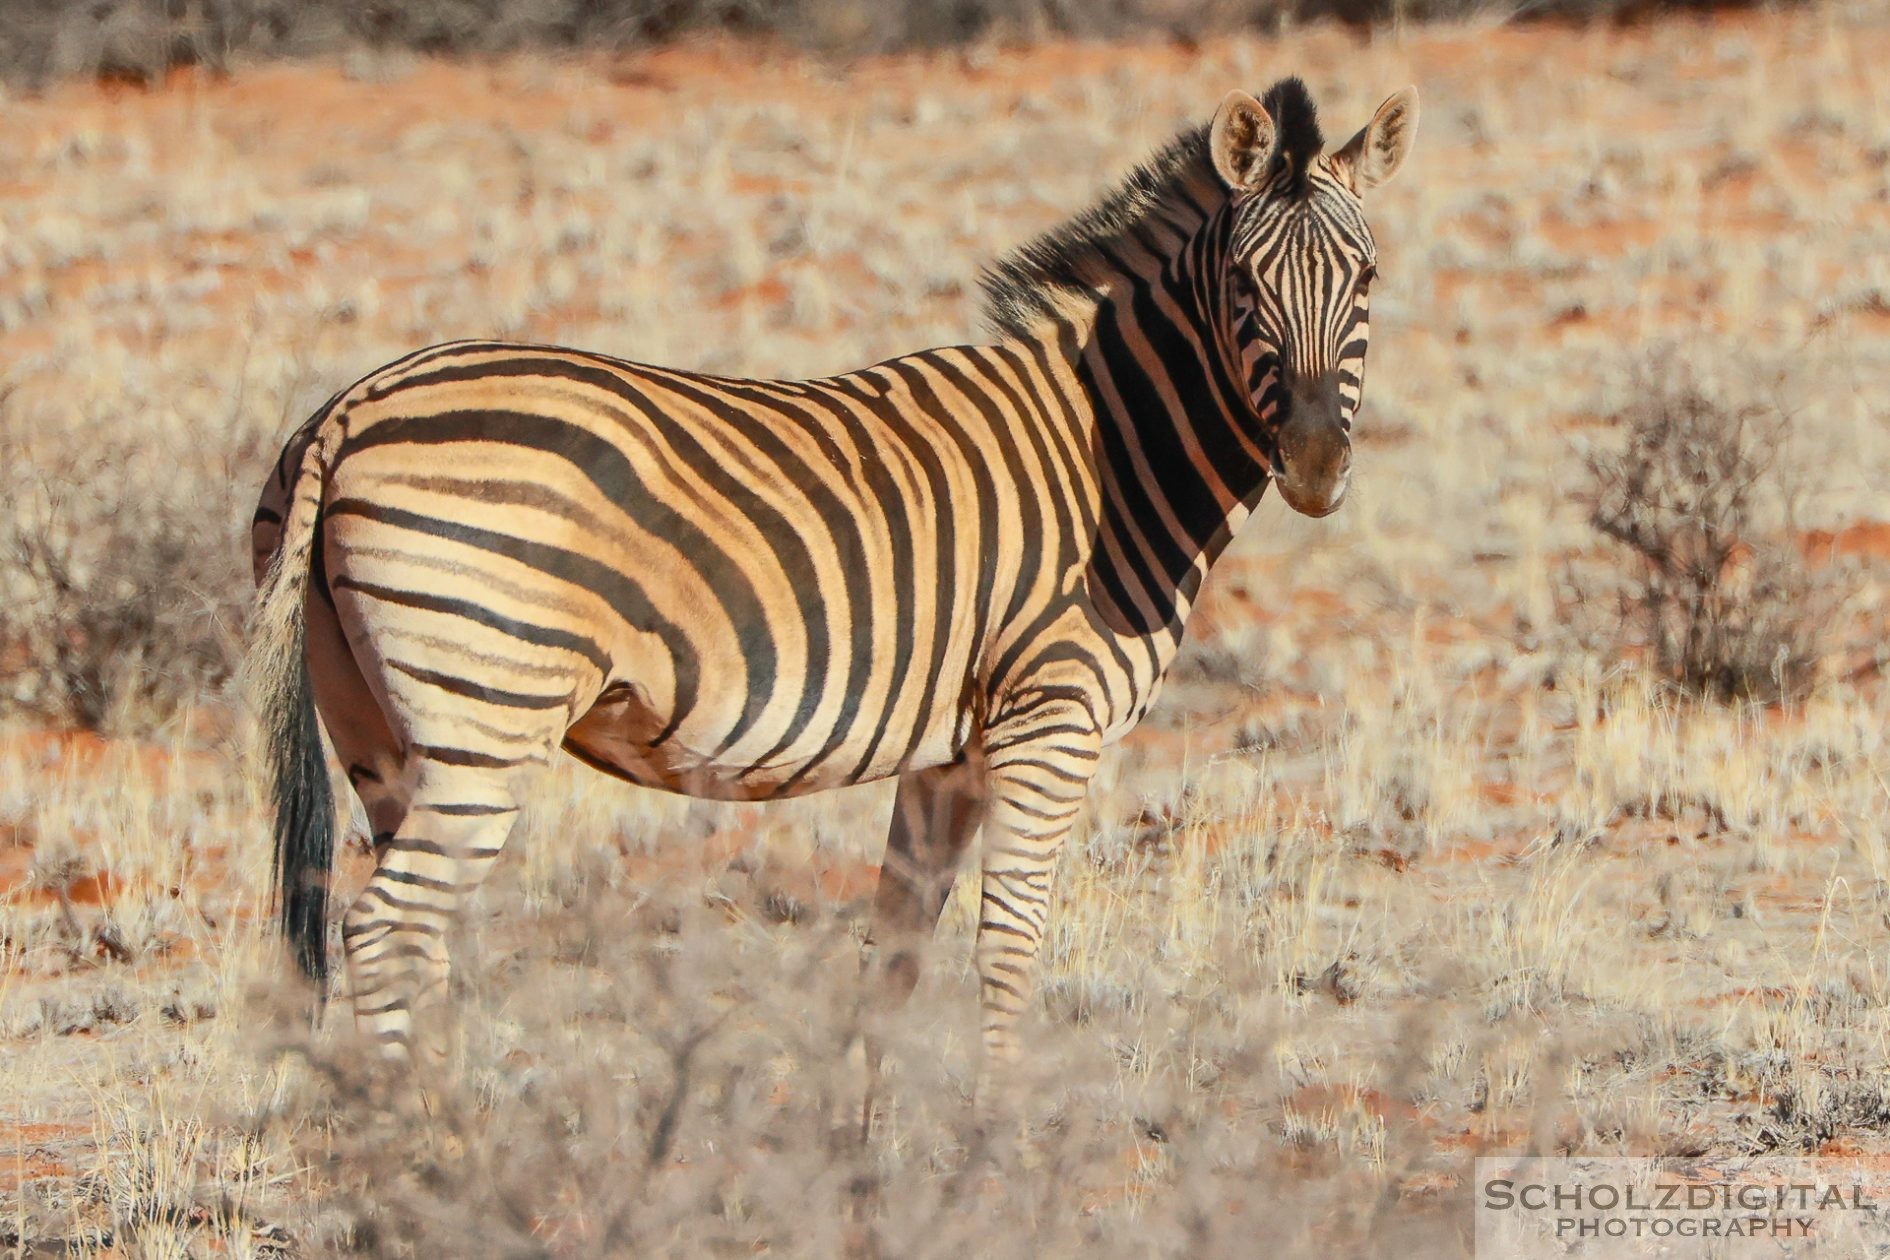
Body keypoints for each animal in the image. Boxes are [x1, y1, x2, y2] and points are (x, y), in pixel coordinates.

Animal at [247, 76, 1421, 1088]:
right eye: (1245, 286)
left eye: (1366, 281)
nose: (1316, 464)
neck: (1112, 451)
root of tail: (350, 409)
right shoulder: (1050, 721)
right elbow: (1007, 952)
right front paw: (998, 1154)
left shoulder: (951, 752)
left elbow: (892, 958)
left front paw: (873, 1154)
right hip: (488, 709)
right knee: (386, 931)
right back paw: (429, 1153)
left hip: (381, 731)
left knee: (413, 938)